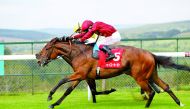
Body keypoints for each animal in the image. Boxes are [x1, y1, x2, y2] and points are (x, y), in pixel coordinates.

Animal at [35, 37, 190, 108]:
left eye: (47, 48)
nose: (38, 58)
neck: (78, 53)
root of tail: (150, 54)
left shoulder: (80, 74)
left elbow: (62, 80)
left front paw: (50, 96)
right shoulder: (82, 76)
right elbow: (70, 91)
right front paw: (54, 104)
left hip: (139, 77)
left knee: (151, 91)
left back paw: (147, 105)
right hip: (151, 74)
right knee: (166, 87)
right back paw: (179, 103)